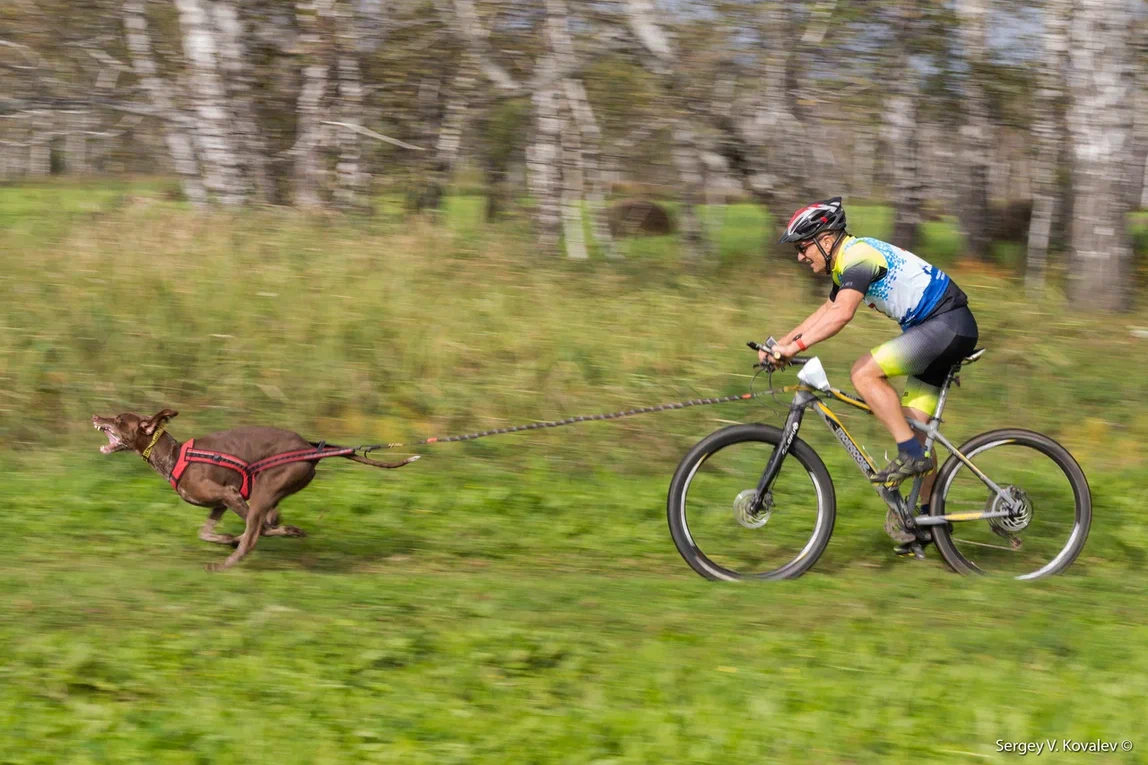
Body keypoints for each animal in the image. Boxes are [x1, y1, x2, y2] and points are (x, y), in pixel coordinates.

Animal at [91, 408, 417, 569]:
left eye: (118, 419)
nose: (95, 416)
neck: (172, 455)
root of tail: (311, 449)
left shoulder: (229, 494)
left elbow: (257, 530)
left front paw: (237, 540)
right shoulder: (220, 503)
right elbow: (206, 532)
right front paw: (225, 537)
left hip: (265, 490)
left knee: (254, 534)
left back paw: (226, 564)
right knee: (264, 523)